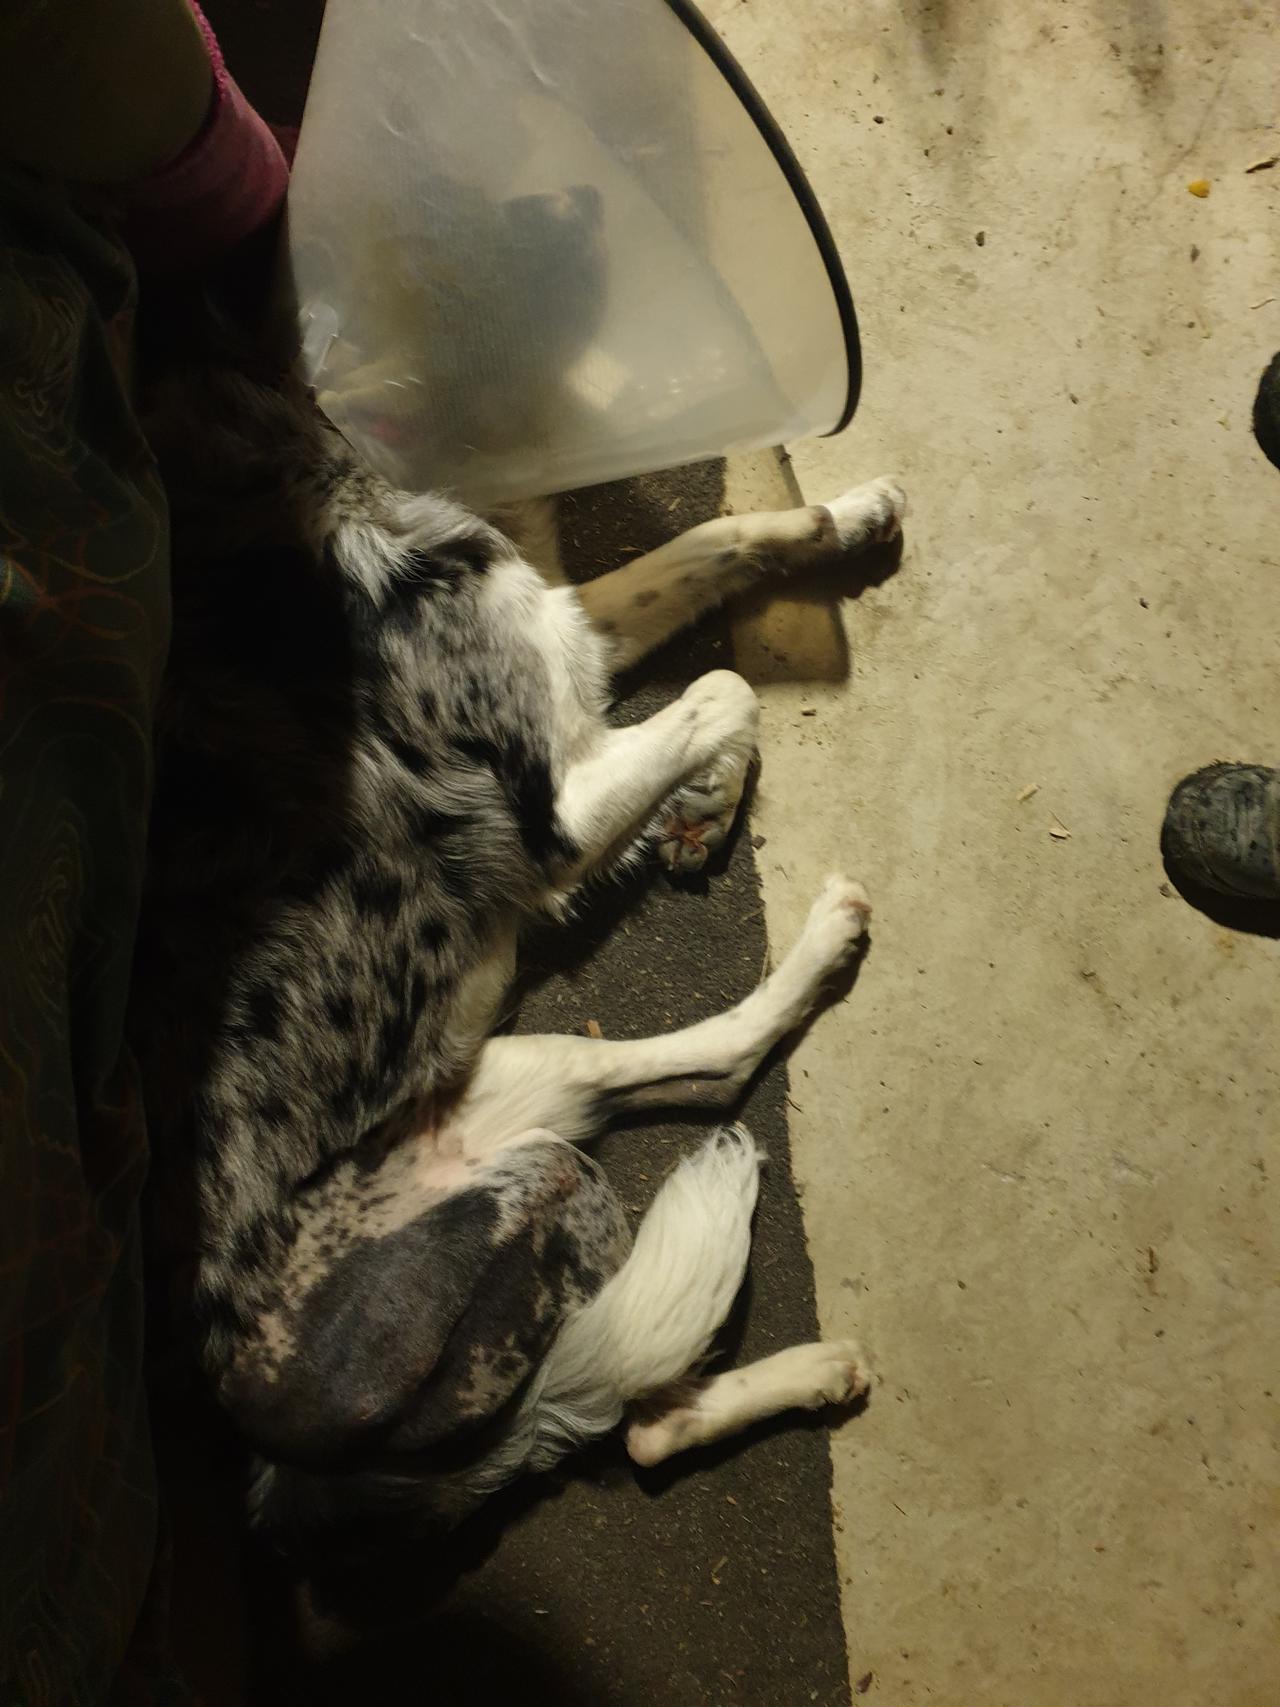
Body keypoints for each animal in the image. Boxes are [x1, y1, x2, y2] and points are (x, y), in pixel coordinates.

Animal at [130, 355, 905, 1563]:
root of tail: (286, 1465)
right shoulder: (556, 816)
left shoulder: (566, 648)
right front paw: (709, 794)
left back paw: (813, 1371)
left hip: (517, 1096)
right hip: (541, 1158)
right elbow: (724, 691)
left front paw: (853, 509)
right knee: (716, 1085)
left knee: (640, 1415)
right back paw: (827, 941)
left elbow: (716, 545)